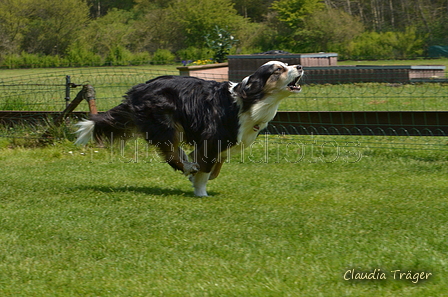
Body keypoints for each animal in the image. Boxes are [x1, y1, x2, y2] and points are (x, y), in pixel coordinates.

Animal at [75, 60, 302, 195]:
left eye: (286, 65)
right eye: (278, 70)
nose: (299, 66)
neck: (249, 101)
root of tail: (137, 89)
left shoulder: (222, 143)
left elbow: (215, 167)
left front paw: (196, 174)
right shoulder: (212, 138)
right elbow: (206, 168)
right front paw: (200, 190)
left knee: (175, 151)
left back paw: (187, 164)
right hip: (164, 123)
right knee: (169, 153)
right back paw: (187, 167)